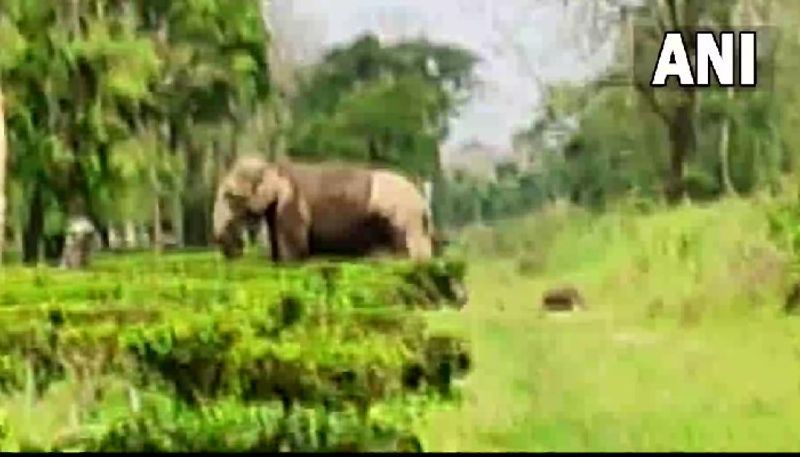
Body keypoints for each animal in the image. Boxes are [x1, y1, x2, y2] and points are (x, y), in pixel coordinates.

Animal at [212, 155, 434, 262]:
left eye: (231, 196)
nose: (238, 251)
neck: (273, 166)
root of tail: (422, 202)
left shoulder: (293, 202)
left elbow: (296, 250)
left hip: (403, 218)